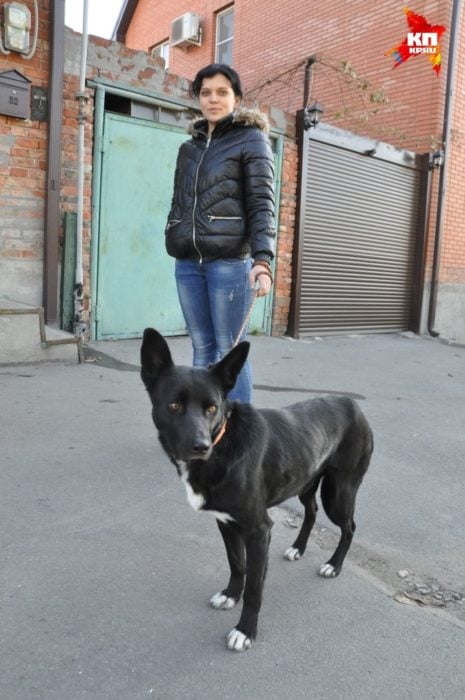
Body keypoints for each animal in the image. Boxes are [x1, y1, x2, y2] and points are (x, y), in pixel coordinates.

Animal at [140, 328, 372, 652]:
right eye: (174, 405)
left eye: (212, 407)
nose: (201, 447)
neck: (223, 446)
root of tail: (354, 406)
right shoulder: (226, 523)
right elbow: (237, 564)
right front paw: (230, 595)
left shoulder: (259, 530)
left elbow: (254, 587)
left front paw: (245, 630)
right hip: (306, 482)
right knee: (311, 512)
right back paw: (298, 548)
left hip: (338, 492)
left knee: (349, 527)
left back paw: (333, 565)